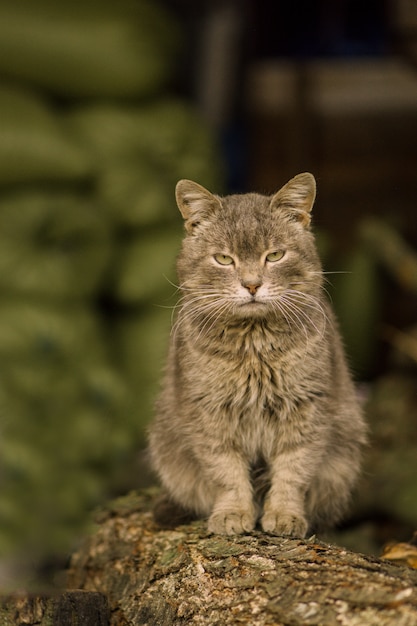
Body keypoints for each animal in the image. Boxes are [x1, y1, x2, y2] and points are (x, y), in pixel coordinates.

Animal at [148, 173, 366, 532]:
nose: (251, 285)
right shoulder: (210, 414)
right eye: (224, 259)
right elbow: (226, 472)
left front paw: (285, 514)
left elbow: (293, 470)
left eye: (274, 255)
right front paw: (232, 513)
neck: (254, 346)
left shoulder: (306, 409)